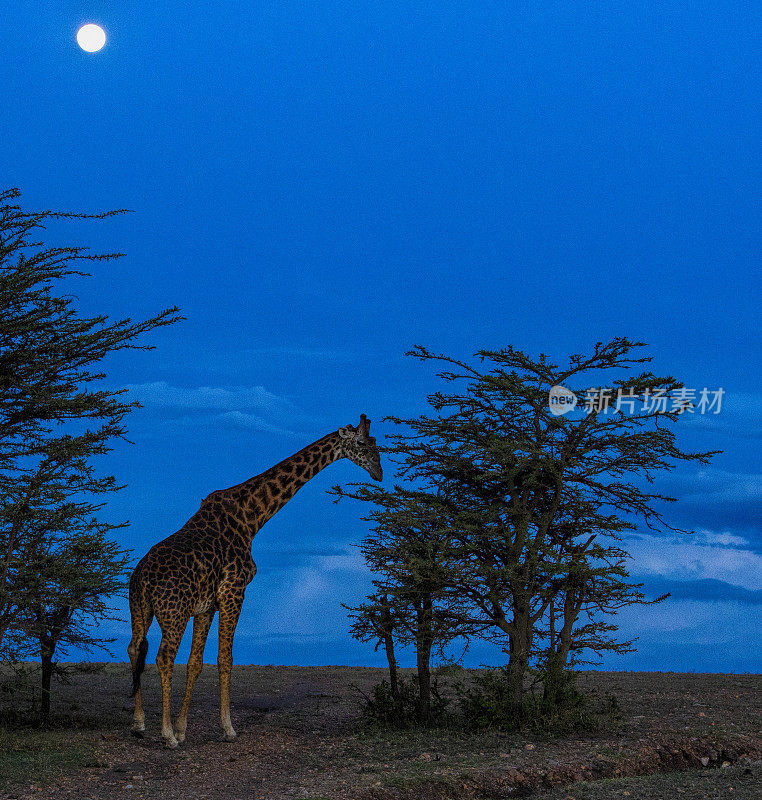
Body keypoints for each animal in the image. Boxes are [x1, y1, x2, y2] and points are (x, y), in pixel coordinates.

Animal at [127, 416, 382, 748]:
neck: (252, 517)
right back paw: (166, 734)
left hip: (139, 607)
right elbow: (225, 658)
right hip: (174, 613)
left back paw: (139, 724)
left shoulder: (207, 606)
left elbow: (196, 662)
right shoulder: (234, 590)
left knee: (135, 649)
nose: (378, 472)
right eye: (362, 443)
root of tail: (143, 577)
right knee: (163, 657)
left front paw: (184, 728)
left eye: (376, 443)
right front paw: (226, 728)